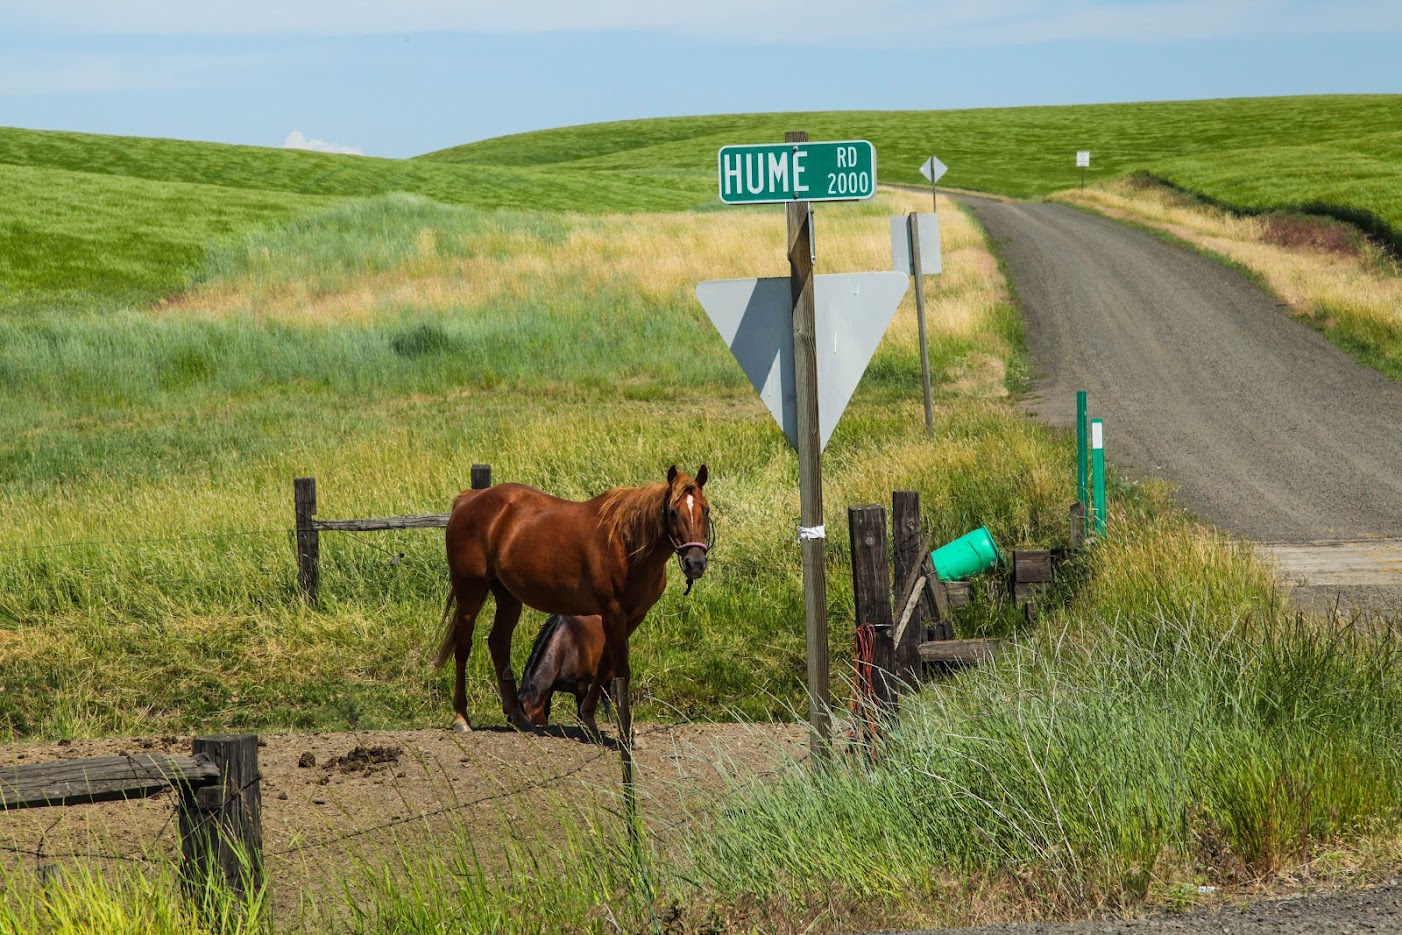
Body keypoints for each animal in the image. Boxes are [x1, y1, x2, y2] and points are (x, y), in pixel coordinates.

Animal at [437, 465, 712, 734]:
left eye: (706, 509)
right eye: (673, 513)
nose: (696, 562)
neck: (625, 544)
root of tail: (468, 498)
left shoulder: (633, 617)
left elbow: (605, 664)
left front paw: (589, 717)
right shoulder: (613, 613)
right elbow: (620, 668)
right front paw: (626, 733)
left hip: (507, 596)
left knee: (498, 643)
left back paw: (518, 716)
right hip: (469, 589)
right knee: (463, 647)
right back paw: (462, 718)